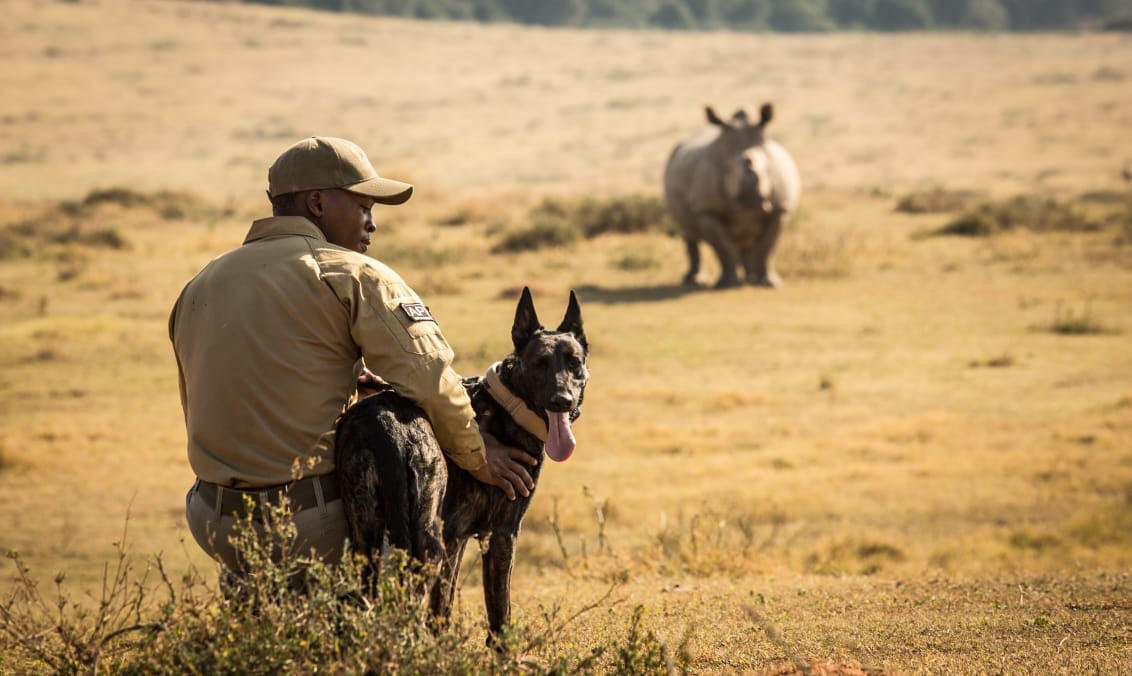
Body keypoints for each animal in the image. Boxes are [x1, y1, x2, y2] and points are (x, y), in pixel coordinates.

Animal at [330, 286, 588, 638]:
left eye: (575, 363)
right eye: (540, 364)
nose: (562, 401)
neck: (508, 407)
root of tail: (384, 423)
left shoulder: (460, 539)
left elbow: (447, 609)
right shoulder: (499, 536)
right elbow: (497, 616)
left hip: (367, 536)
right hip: (429, 540)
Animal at [661, 104, 805, 288]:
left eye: (767, 173)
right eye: (729, 172)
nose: (751, 200)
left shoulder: (780, 208)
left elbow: (767, 247)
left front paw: (770, 283)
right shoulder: (708, 210)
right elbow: (724, 249)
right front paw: (728, 284)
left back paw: (750, 278)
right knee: (689, 233)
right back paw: (694, 280)